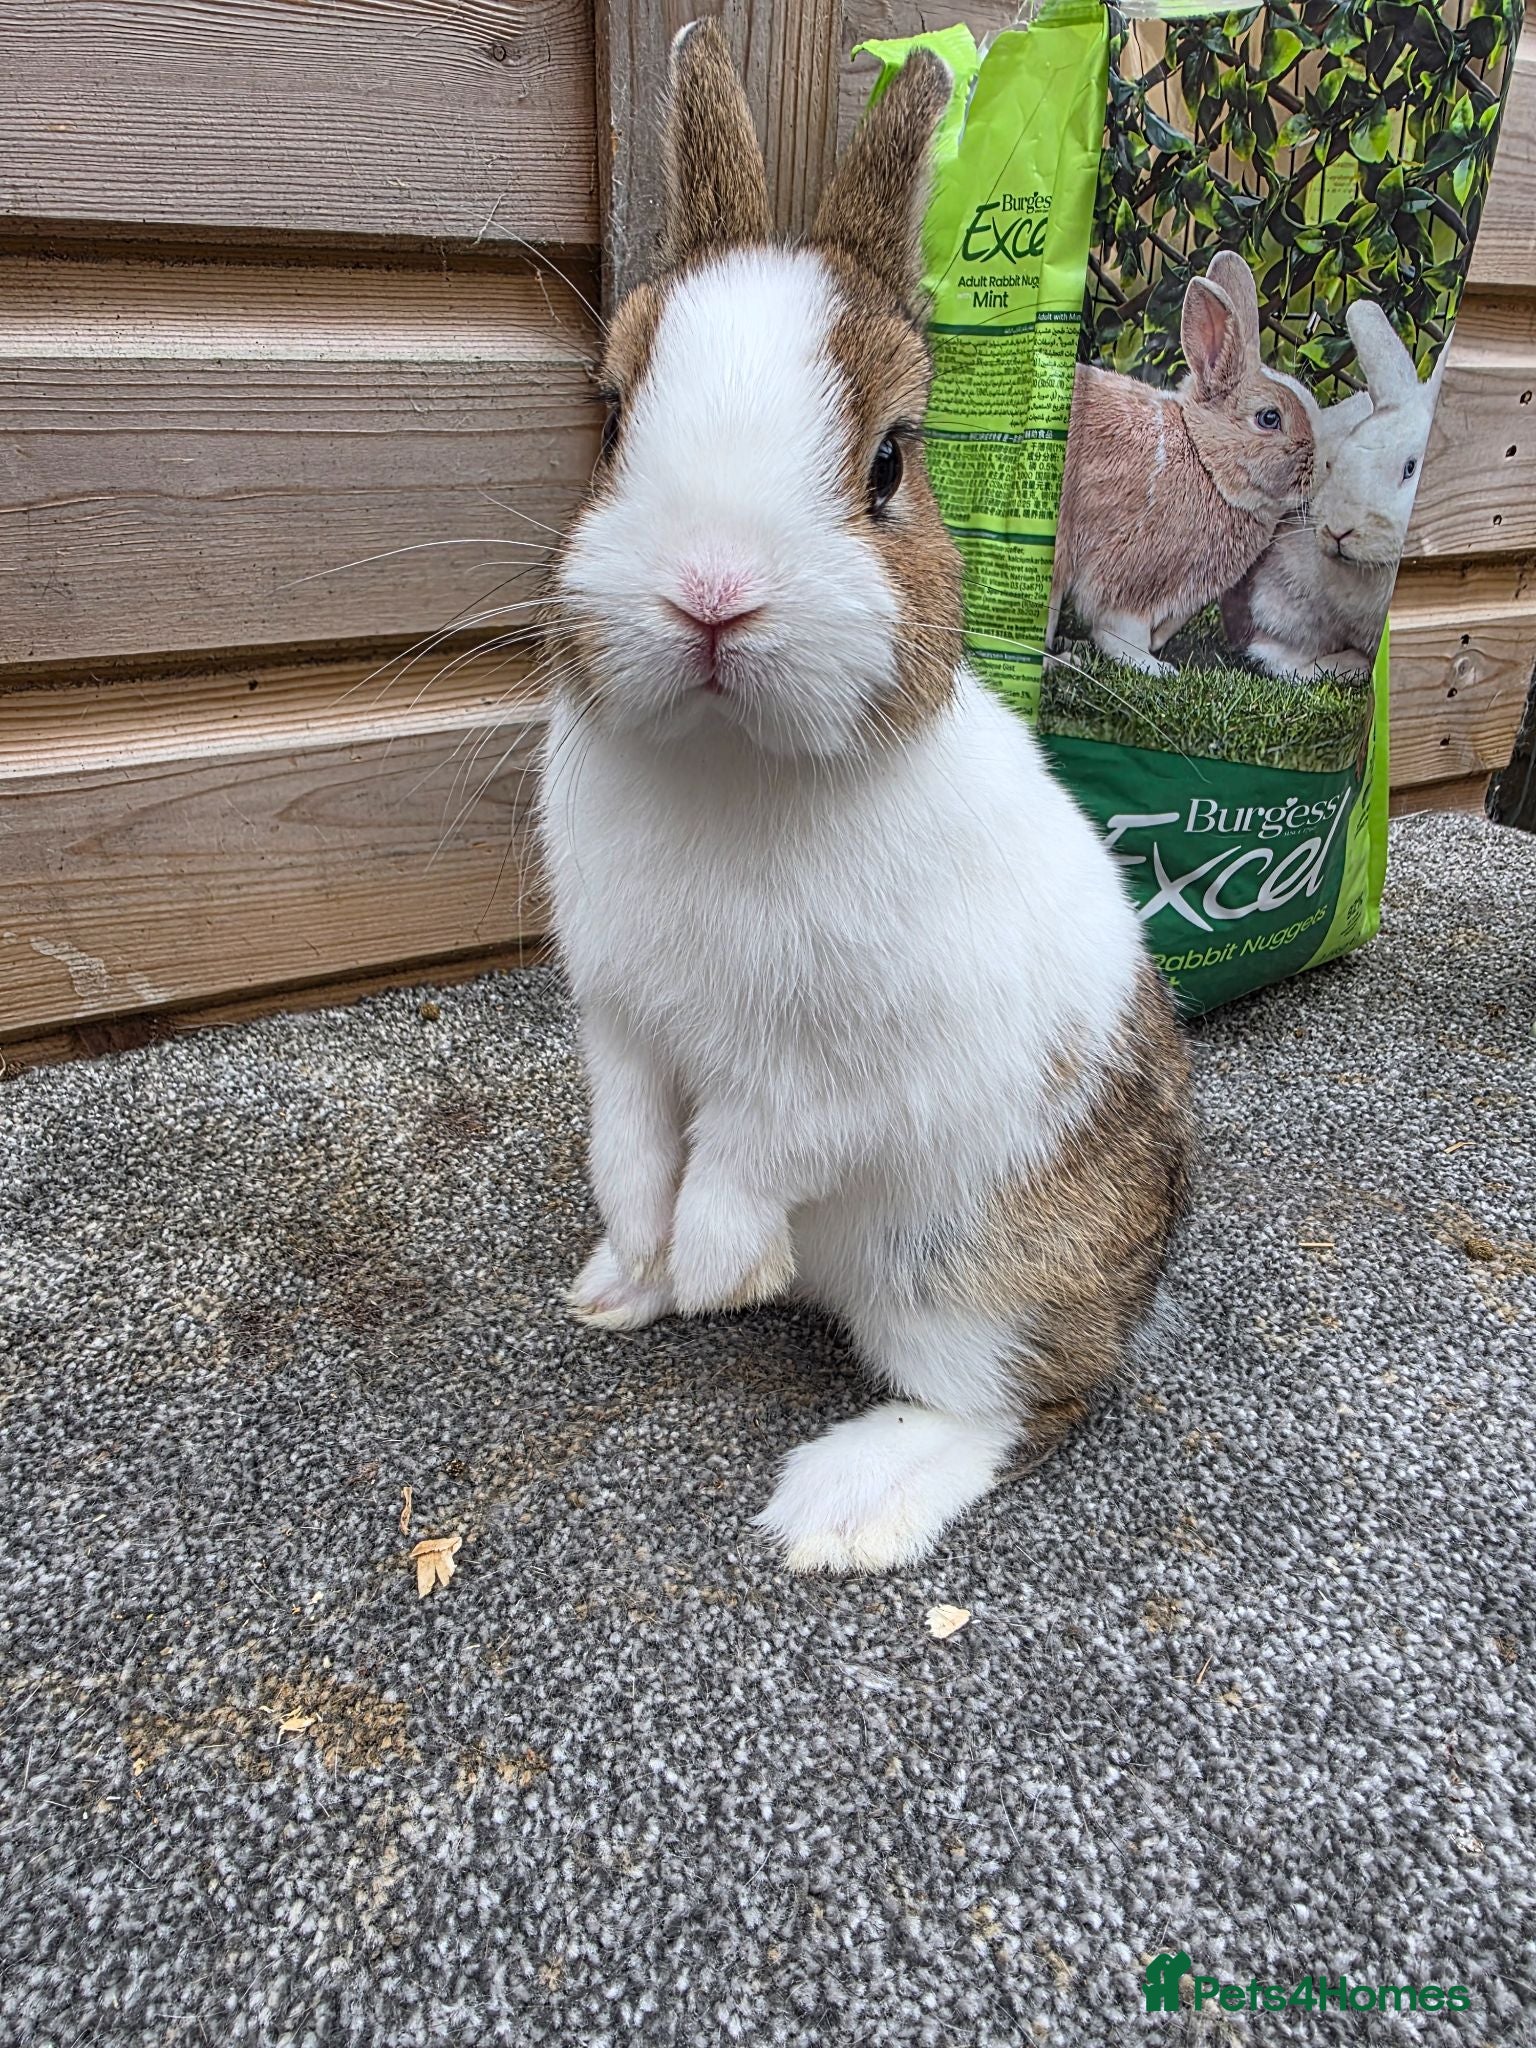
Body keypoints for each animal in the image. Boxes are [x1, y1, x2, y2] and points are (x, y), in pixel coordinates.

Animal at [535, 21, 1193, 1575]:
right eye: (611, 421)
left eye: (891, 460)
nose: (713, 592)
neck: (732, 763)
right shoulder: (623, 1022)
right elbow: (632, 1147)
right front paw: (639, 1260)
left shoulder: (847, 1064)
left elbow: (755, 1147)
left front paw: (721, 1268)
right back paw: (627, 1290)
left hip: (976, 1272)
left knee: (1016, 1404)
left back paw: (842, 1507)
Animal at [1049, 249, 1319, 675]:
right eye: (1269, 418)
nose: (1322, 468)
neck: (1204, 462)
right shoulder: (1132, 576)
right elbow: (1118, 630)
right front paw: (1155, 668)